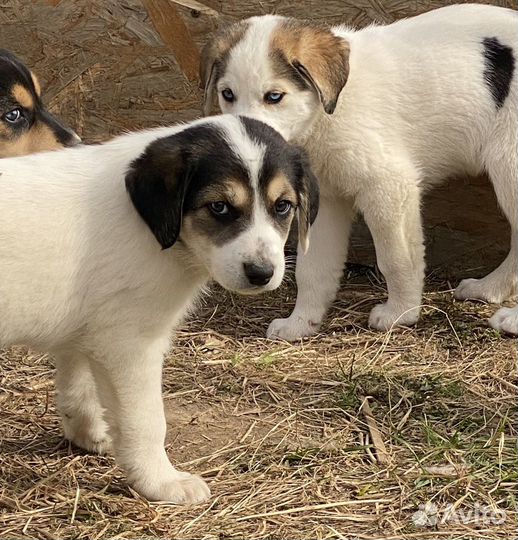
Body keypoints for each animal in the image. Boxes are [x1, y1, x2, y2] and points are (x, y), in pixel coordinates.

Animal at [0, 115, 320, 506]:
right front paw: (161, 482)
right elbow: (147, 422)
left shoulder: (86, 333)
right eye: (219, 207)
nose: (262, 274)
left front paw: (91, 435)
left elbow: (79, 390)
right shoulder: (130, 345)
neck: (153, 228)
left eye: (283, 206)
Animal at [203, 3, 518, 338]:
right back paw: (490, 288)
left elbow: (396, 259)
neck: (326, 113)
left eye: (274, 97)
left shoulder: (389, 187)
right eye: (227, 94)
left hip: (509, 166)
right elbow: (312, 269)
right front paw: (300, 323)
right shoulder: (326, 202)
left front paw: (401, 313)